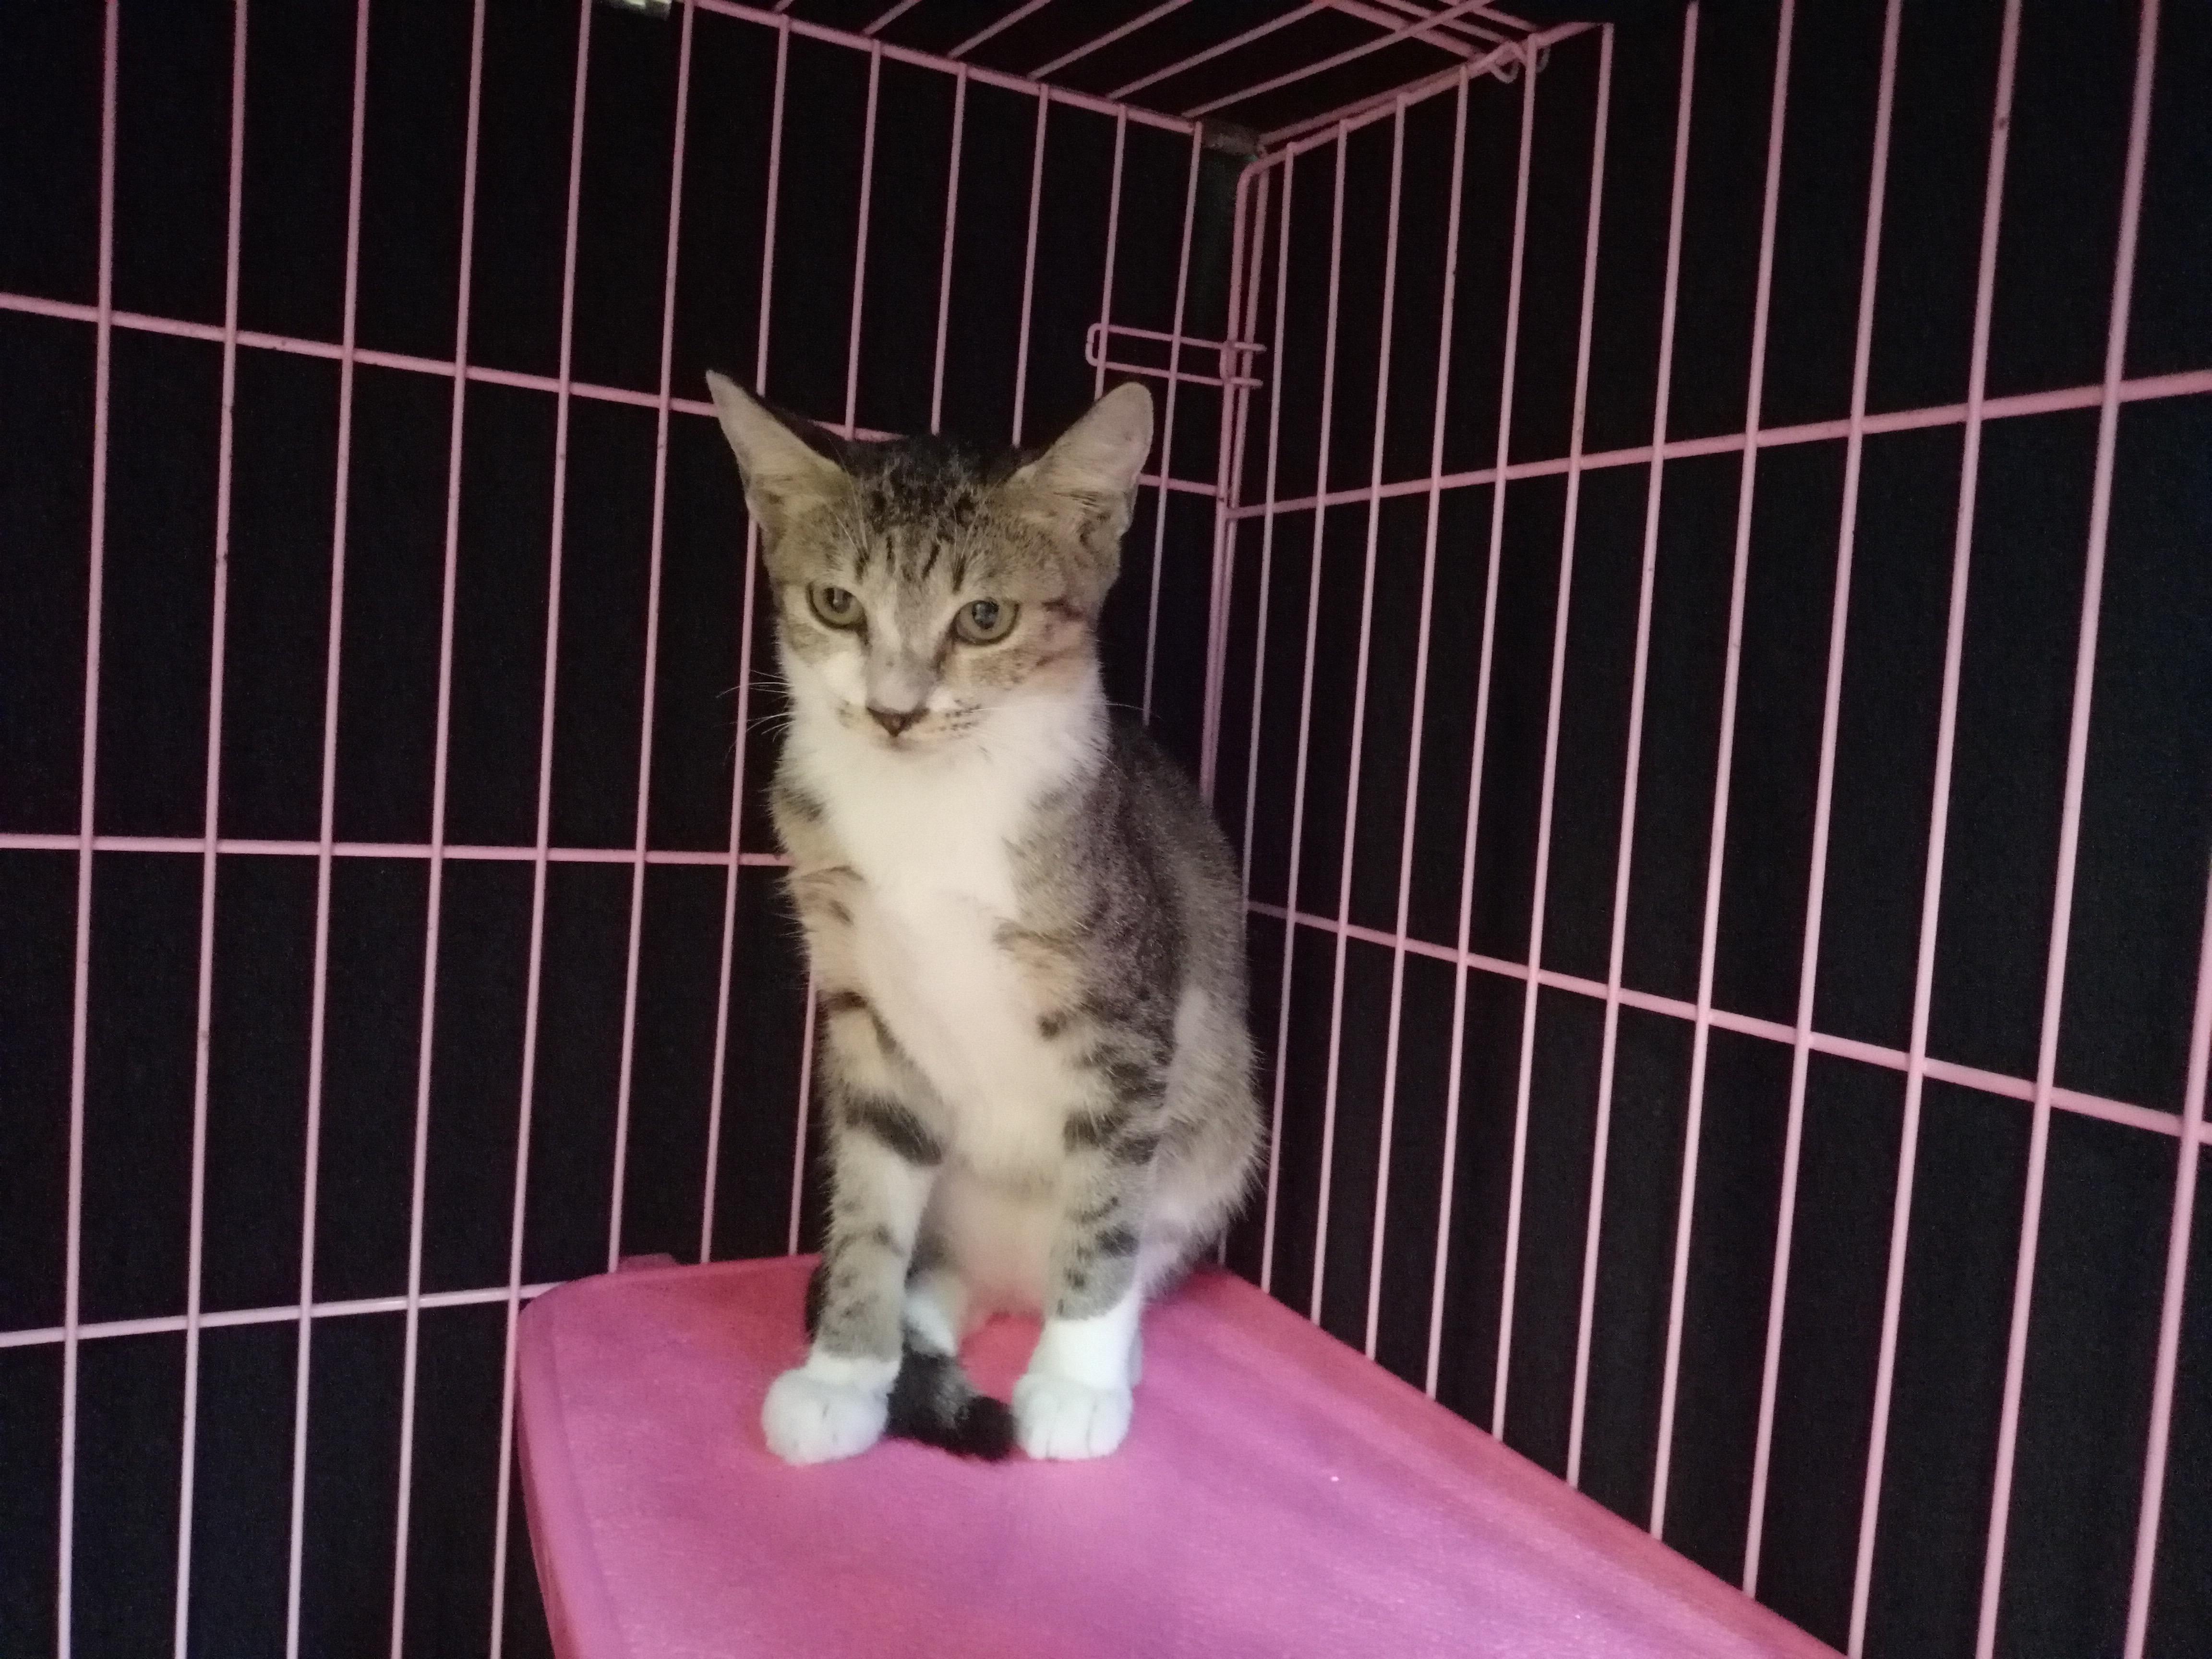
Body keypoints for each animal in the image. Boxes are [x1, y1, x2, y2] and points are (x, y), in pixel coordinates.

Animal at [706, 371, 1261, 1463]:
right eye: (837, 603)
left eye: (986, 618)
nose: (894, 711)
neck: (928, 809)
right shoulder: (864, 1001)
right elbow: (870, 1201)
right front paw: (843, 1373)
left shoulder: (1124, 1008)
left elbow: (1105, 1200)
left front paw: (1076, 1383)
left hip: (1219, 1135)